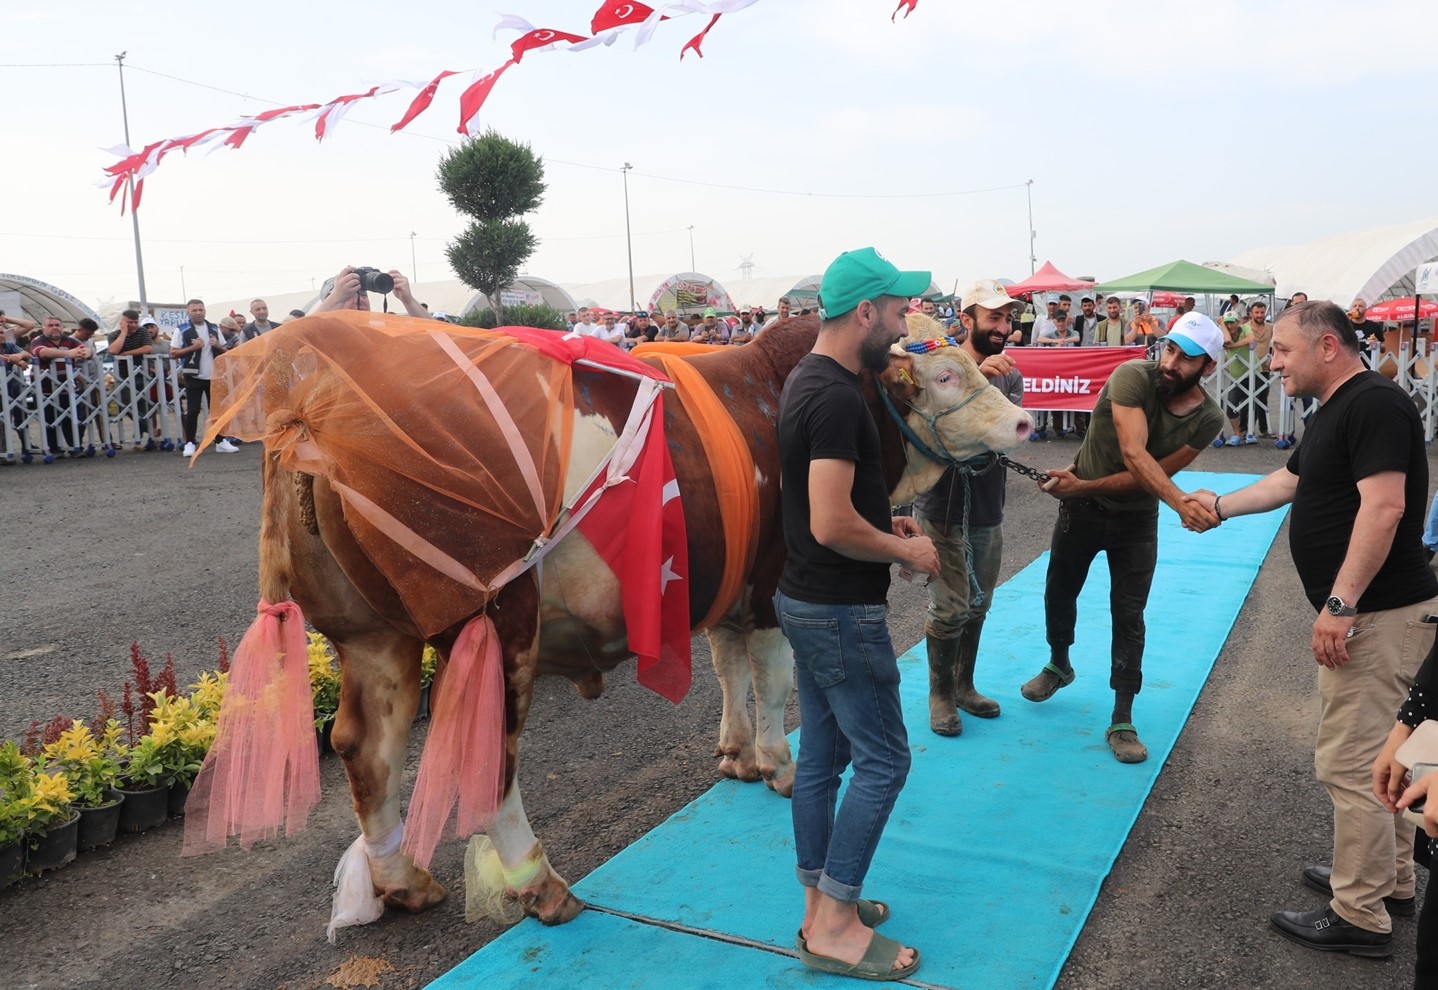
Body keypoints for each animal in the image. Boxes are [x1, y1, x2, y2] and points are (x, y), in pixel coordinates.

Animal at [182, 309, 1035, 938]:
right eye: (947, 374)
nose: (1027, 423)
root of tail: (310, 404)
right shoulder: (769, 581)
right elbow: (773, 677)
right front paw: (776, 763)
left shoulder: (722, 583)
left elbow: (727, 668)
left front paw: (734, 755)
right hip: (496, 627)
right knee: (486, 759)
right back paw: (539, 885)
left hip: (371, 636)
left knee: (367, 748)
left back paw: (402, 881)